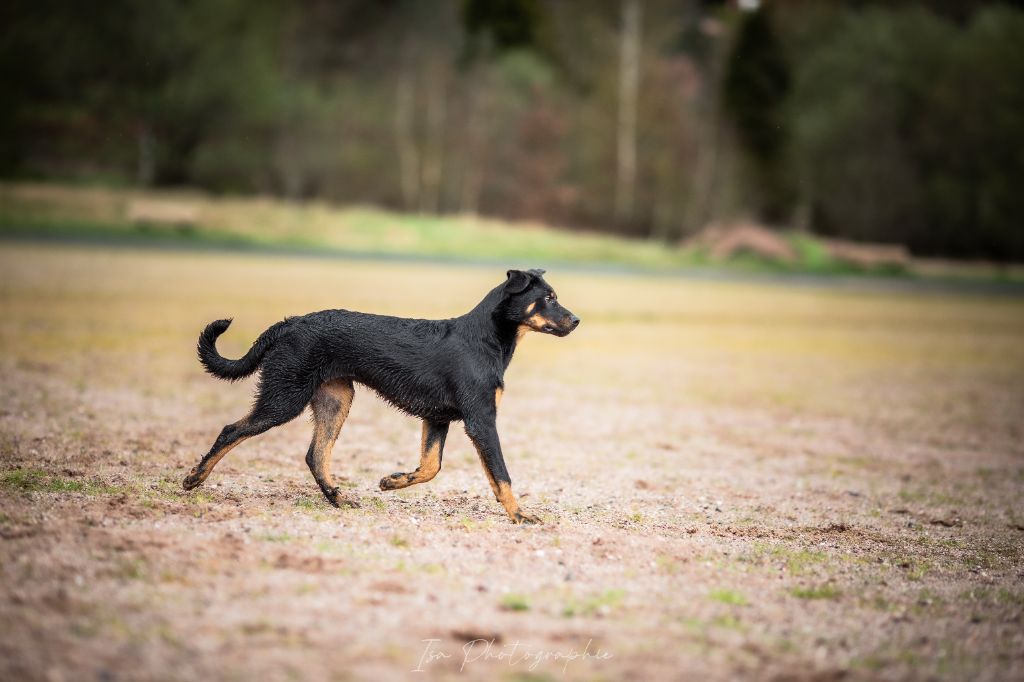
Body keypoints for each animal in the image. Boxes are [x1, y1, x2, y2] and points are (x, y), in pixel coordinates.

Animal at [182, 266, 577, 520]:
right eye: (549, 298)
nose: (576, 320)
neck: (484, 338)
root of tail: (288, 323)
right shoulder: (481, 420)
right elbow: (501, 474)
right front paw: (520, 515)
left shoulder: (438, 419)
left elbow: (430, 467)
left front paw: (392, 481)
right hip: (284, 398)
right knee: (232, 431)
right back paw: (194, 478)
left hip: (335, 400)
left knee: (315, 455)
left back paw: (337, 497)